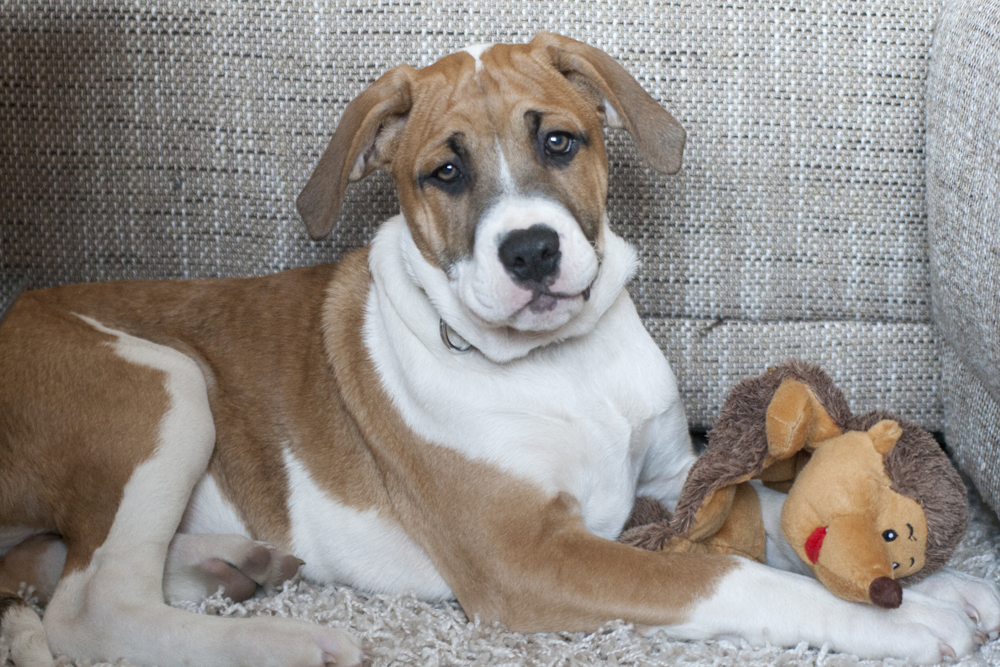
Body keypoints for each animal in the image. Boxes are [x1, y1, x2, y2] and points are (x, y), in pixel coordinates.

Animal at [1, 31, 1000, 667]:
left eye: (560, 141)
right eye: (444, 172)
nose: (531, 252)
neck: (562, 364)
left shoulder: (671, 472)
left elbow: (774, 509)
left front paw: (951, 585)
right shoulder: (529, 554)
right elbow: (728, 574)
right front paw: (905, 623)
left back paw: (231, 565)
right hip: (163, 383)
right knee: (92, 607)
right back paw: (290, 640)